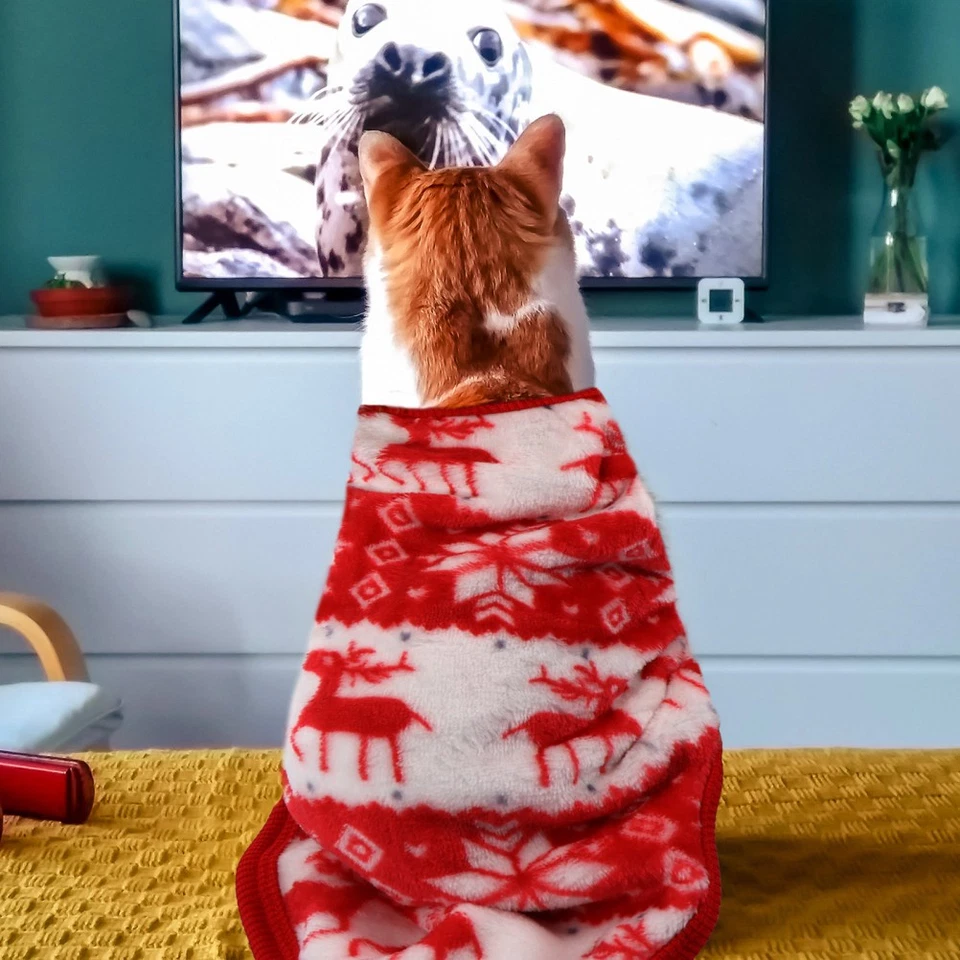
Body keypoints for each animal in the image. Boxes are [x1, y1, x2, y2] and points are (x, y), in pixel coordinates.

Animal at [291, 642, 431, 782]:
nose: (306, 665)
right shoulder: (323, 728)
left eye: (323, 664)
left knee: (394, 751)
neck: (324, 700)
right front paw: (322, 764)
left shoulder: (311, 723)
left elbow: (296, 735)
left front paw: (302, 755)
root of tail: (409, 709)